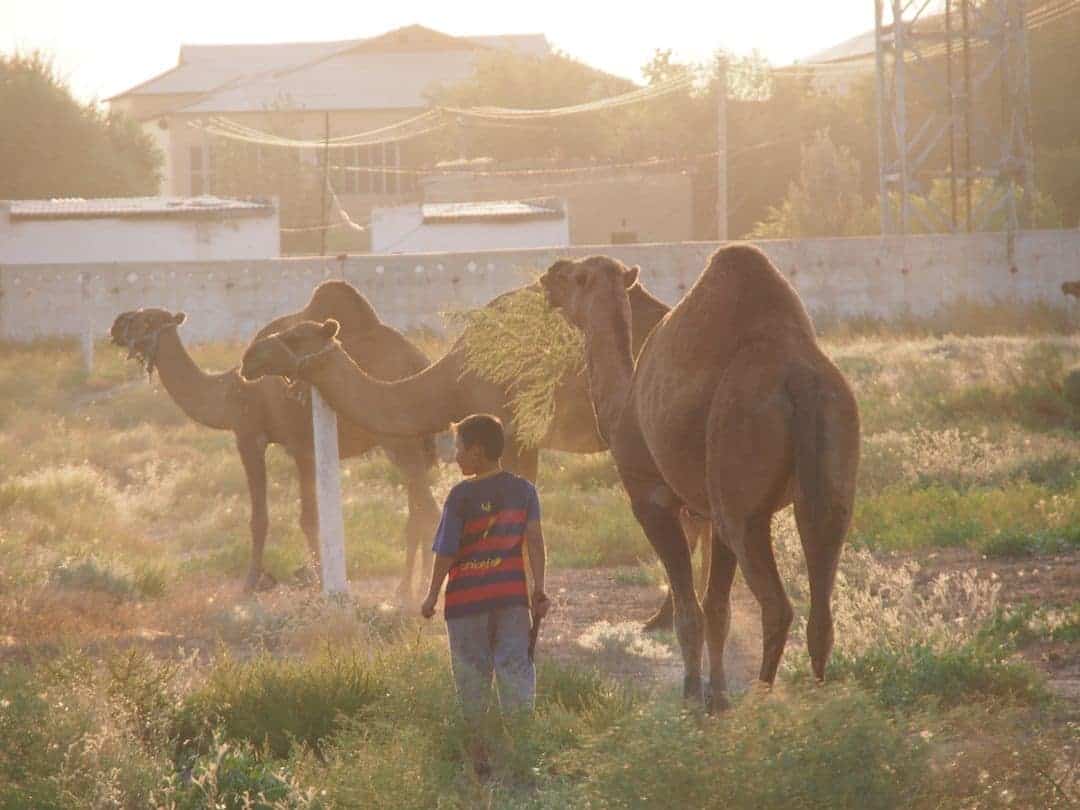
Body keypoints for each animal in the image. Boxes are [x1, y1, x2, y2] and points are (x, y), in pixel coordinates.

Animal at [111, 280, 440, 596]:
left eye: (146, 320)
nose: (115, 324)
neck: (228, 392)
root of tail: (420, 363)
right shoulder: (303, 448)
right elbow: (309, 518)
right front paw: (317, 579)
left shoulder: (249, 435)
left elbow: (262, 518)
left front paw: (251, 584)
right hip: (409, 444)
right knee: (418, 511)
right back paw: (410, 587)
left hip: (399, 441)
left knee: (427, 511)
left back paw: (410, 590)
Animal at [540, 246, 859, 708]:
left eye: (577, 277)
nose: (550, 272)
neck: (621, 408)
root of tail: (798, 378)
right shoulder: (707, 509)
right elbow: (716, 608)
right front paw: (717, 694)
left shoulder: (651, 497)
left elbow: (691, 609)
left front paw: (694, 693)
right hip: (832, 467)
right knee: (822, 594)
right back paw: (820, 698)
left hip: (741, 482)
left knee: (778, 605)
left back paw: (762, 697)